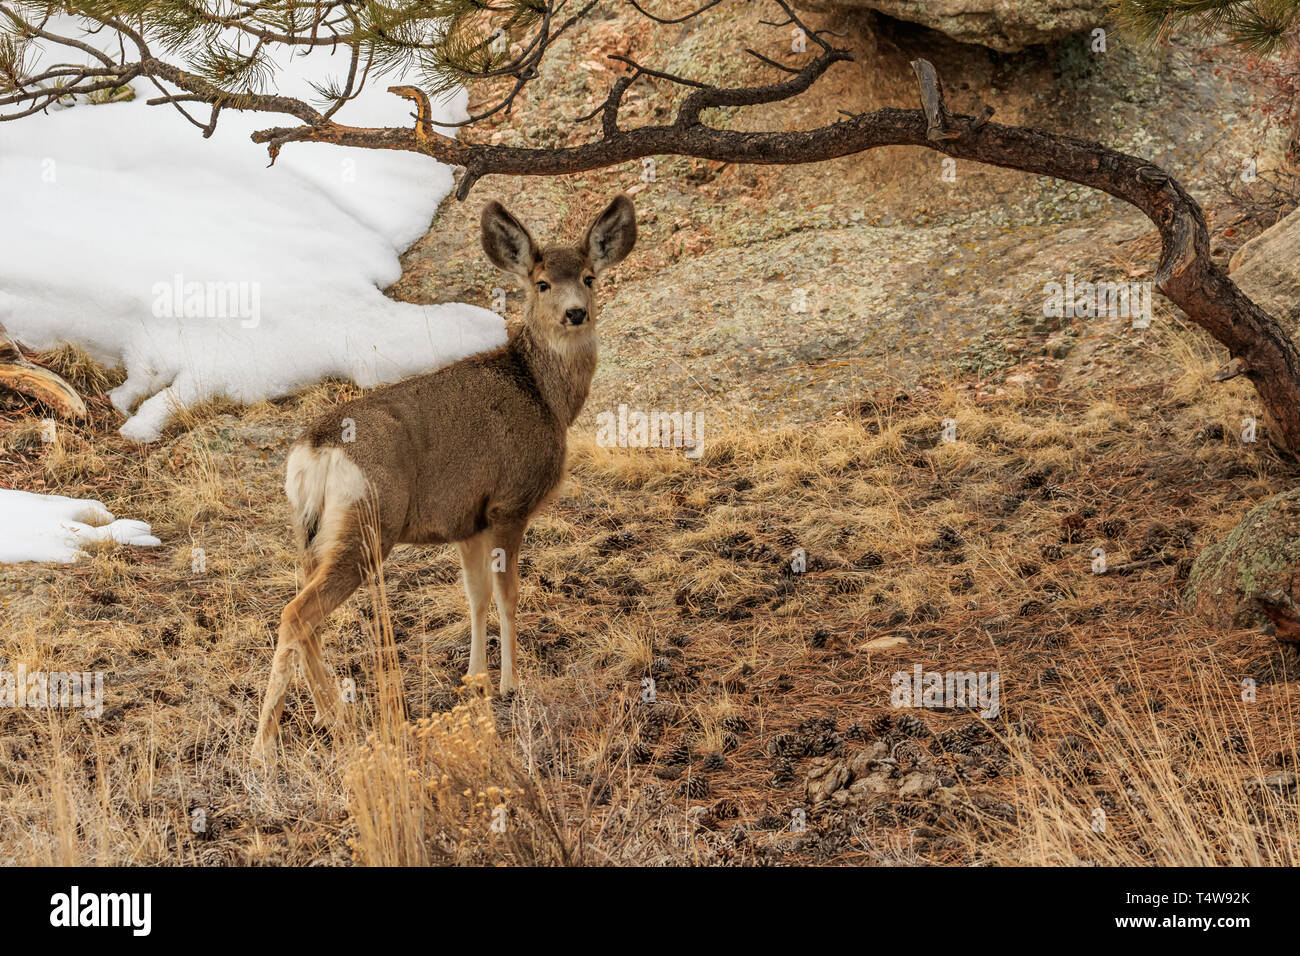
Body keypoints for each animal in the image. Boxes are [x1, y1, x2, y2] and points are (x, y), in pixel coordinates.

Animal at [252, 194, 637, 757]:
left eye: (589, 277)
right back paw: (268, 744)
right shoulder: (508, 503)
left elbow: (475, 597)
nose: (575, 312)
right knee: (296, 615)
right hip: (368, 525)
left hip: (311, 535)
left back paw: (330, 715)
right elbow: (507, 596)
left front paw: (475, 680)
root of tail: (316, 449)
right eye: (542, 282)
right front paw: (510, 684)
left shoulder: (467, 520)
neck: (546, 397)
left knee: (308, 619)